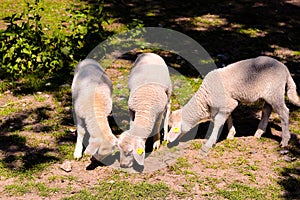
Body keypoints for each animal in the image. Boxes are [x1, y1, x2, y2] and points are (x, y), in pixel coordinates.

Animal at [168, 55, 298, 155]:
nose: (168, 141)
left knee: (284, 112)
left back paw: (285, 141)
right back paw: (258, 134)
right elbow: (228, 118)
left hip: (275, 92)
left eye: (175, 127)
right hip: (269, 95)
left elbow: (219, 122)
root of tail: (284, 68)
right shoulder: (227, 105)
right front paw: (231, 134)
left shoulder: (228, 103)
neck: (204, 99)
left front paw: (209, 143)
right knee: (266, 111)